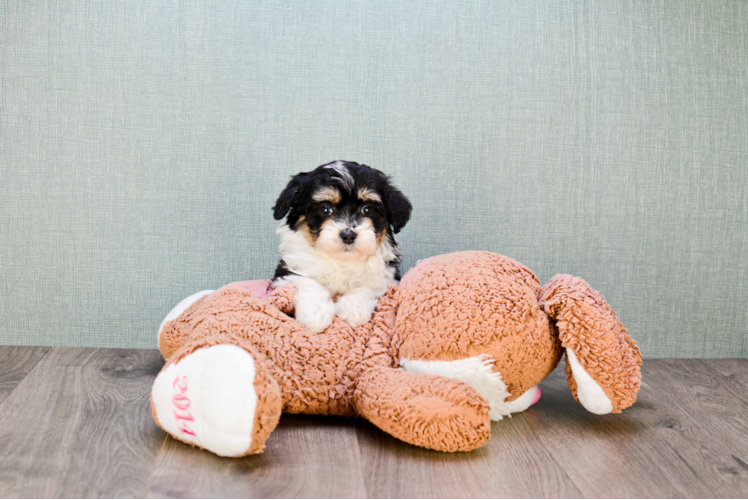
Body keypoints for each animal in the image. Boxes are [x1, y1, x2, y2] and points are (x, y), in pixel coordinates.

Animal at [272, 160, 412, 332]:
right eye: (326, 209)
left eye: (367, 209)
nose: (348, 235)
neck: (341, 259)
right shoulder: (289, 270)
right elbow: (308, 283)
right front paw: (315, 313)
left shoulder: (387, 277)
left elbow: (368, 286)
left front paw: (353, 308)